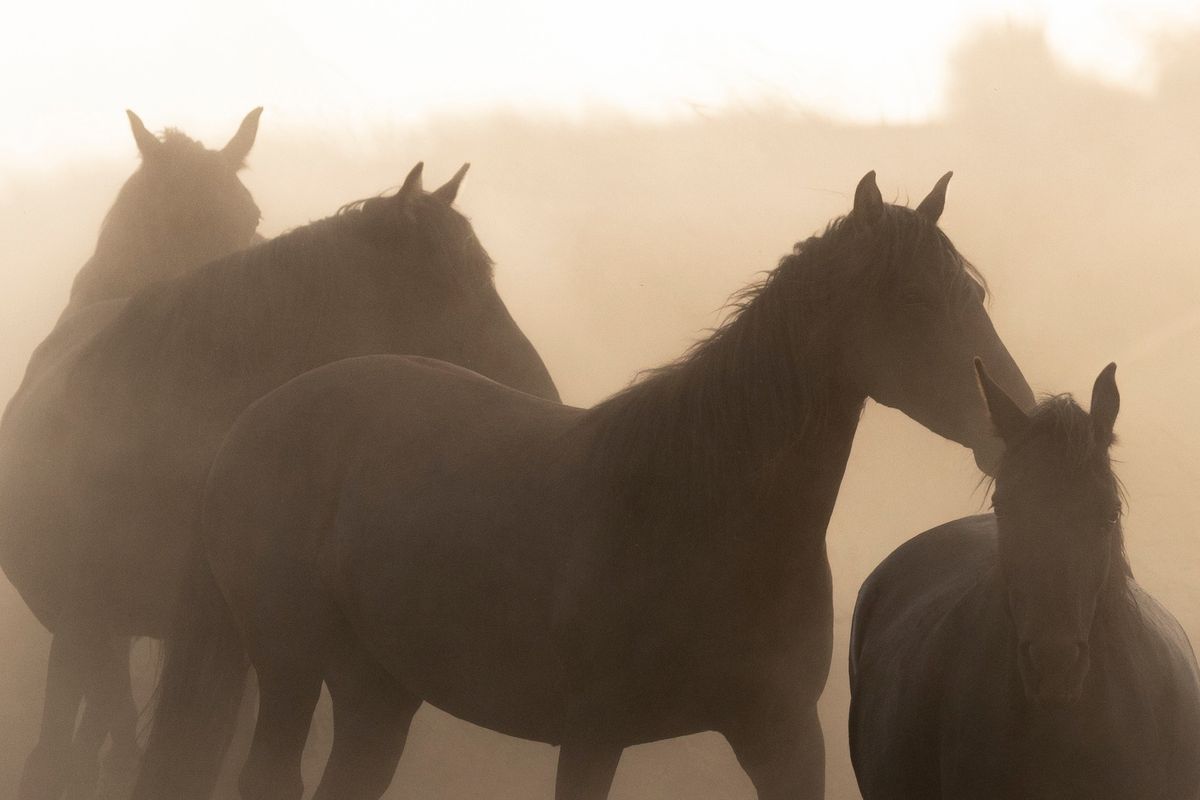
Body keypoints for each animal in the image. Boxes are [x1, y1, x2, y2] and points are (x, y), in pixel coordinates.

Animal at [133, 170, 1032, 800]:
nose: (1013, 420)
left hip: (376, 691)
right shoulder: (593, 737)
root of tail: (257, 419)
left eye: (973, 295)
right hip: (288, 661)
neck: (702, 517)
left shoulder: (782, 737)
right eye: (912, 300)